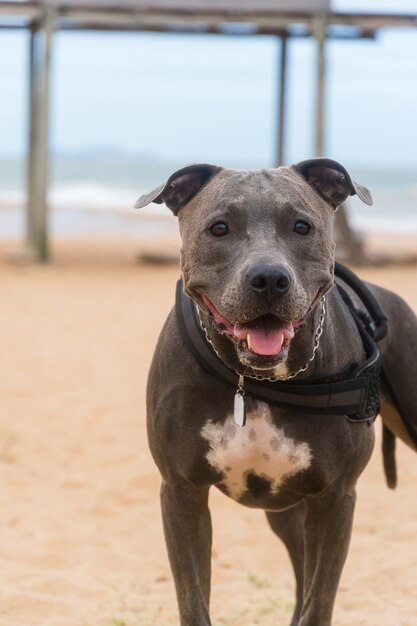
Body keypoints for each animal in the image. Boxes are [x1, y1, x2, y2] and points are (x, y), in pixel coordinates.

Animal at [134, 160, 416, 624]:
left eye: (302, 227)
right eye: (219, 228)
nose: (268, 277)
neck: (257, 382)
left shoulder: (336, 498)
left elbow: (319, 602)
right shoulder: (181, 492)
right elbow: (194, 600)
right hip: (282, 510)